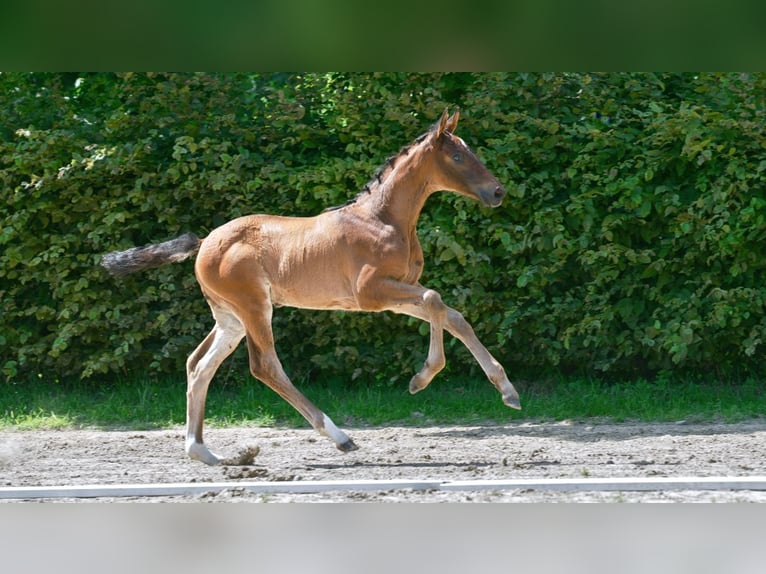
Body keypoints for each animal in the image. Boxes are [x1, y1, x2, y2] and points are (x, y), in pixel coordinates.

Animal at [102, 109, 520, 468]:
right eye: (457, 156)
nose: (498, 192)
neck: (382, 219)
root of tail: (205, 242)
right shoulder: (372, 293)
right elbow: (436, 301)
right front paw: (422, 378)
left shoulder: (399, 290)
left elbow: (452, 314)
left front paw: (508, 391)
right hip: (254, 307)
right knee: (265, 366)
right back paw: (339, 436)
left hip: (230, 318)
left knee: (199, 365)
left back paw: (205, 452)